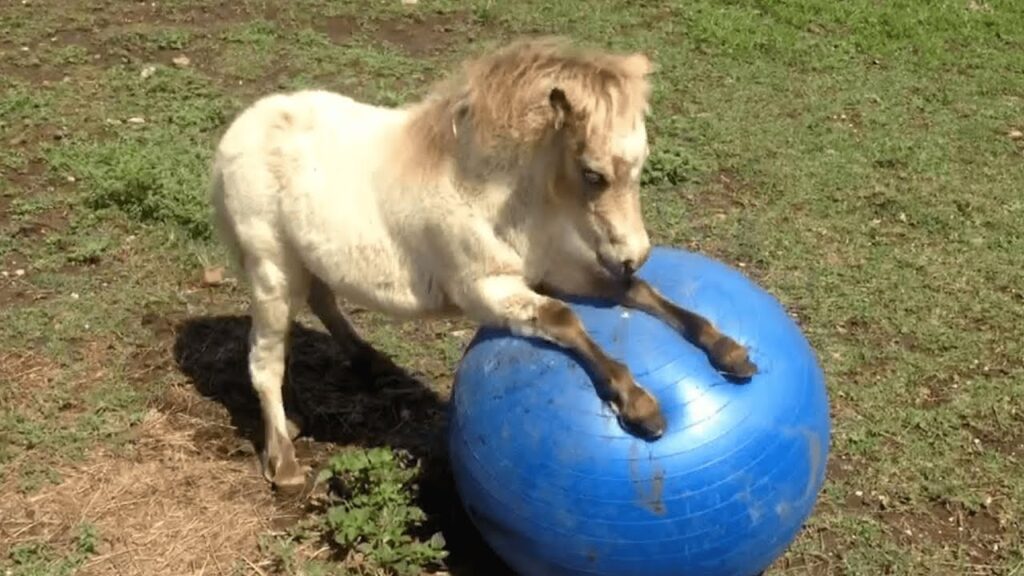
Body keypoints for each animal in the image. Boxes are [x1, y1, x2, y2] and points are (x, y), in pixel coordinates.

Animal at [211, 36, 757, 483]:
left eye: (641, 165)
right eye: (593, 174)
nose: (634, 254)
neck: (490, 194)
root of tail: (235, 135)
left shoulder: (555, 269)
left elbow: (635, 292)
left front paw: (731, 352)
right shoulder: (487, 289)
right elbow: (563, 318)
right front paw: (641, 406)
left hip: (305, 261)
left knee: (322, 299)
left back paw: (368, 364)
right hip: (271, 270)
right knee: (265, 359)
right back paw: (283, 460)